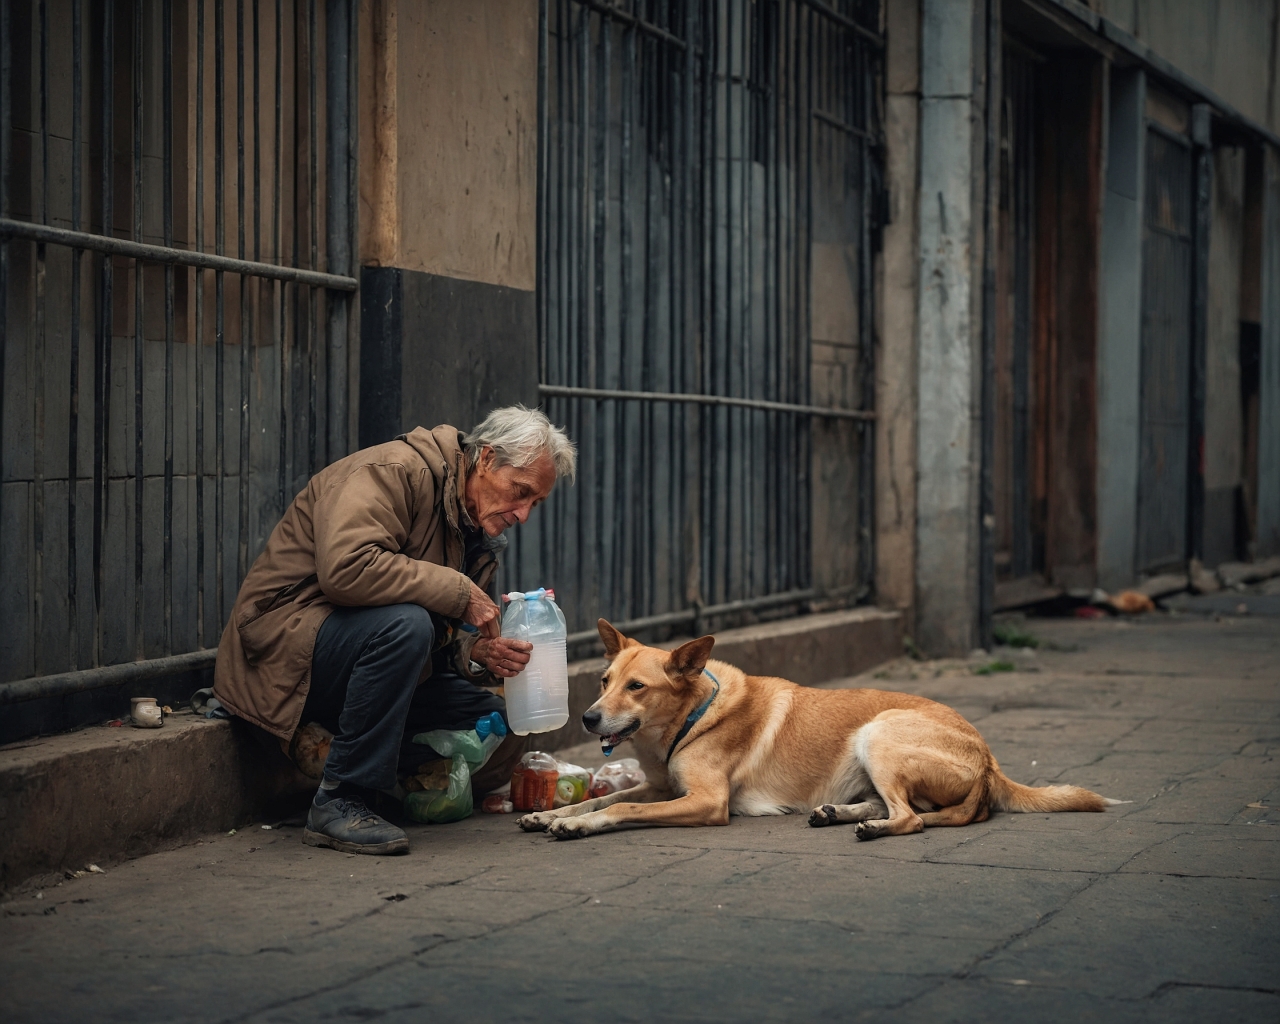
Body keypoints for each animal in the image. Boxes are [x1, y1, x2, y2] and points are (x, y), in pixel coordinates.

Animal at [519, 616, 1121, 839]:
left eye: (637, 687)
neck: (695, 714)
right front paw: (552, 813)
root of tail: (990, 757)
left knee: (912, 819)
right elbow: (604, 798)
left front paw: (576, 825)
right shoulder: (663, 786)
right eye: (603, 680)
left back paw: (870, 826)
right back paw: (841, 812)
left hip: (879, 731)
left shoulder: (706, 802)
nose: (587, 717)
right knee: (902, 807)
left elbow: (621, 809)